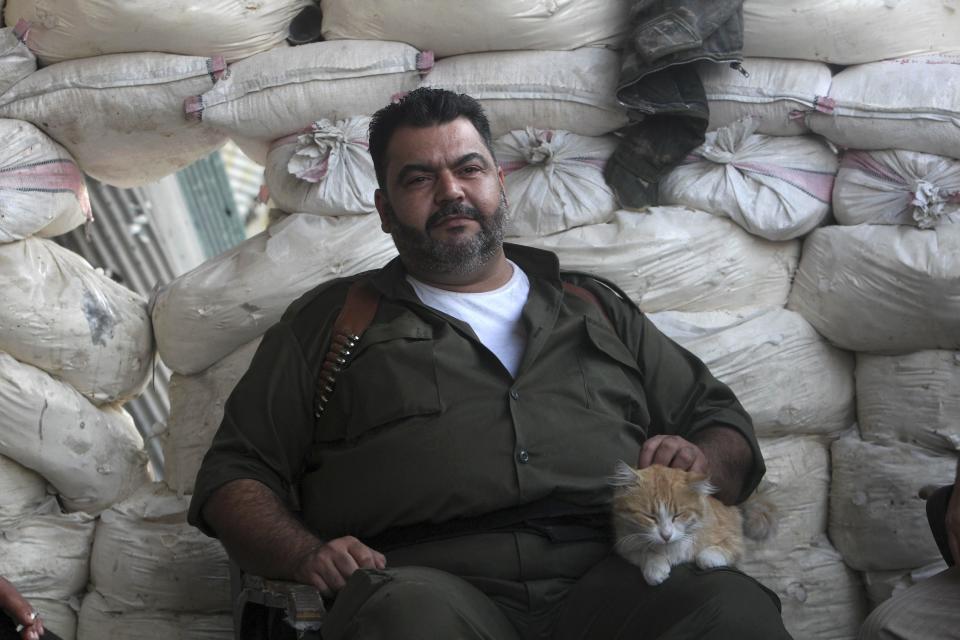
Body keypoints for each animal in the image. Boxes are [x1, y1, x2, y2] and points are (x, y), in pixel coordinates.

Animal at [612, 460, 760, 584]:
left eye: (677, 515)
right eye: (650, 517)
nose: (666, 536)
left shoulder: (734, 537)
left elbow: (723, 549)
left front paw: (709, 557)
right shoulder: (625, 545)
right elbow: (646, 552)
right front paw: (654, 566)